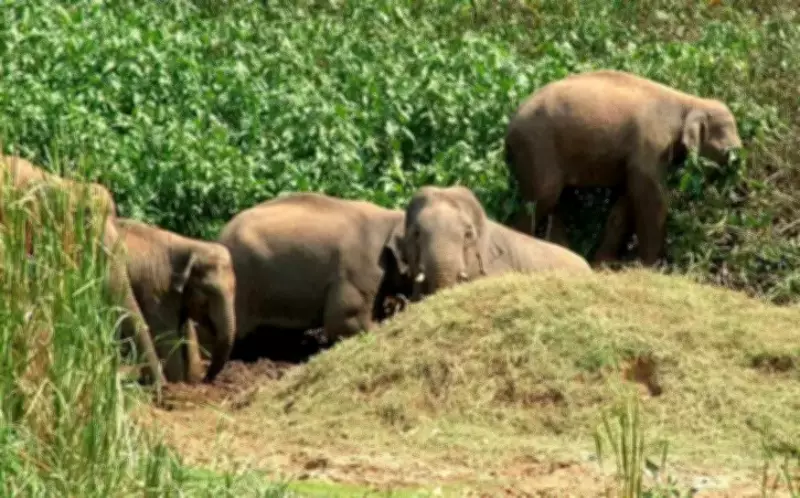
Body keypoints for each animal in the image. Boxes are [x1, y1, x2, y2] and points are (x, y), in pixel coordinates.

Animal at [113, 217, 237, 384]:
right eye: (210, 291)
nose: (206, 379)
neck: (192, 245)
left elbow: (187, 331)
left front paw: (191, 380)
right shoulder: (158, 290)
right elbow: (166, 334)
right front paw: (178, 383)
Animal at [503, 69, 743, 266]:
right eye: (727, 153)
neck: (690, 101)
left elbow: (626, 201)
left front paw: (605, 266)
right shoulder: (650, 143)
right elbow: (651, 197)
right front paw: (650, 267)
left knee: (559, 201)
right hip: (537, 145)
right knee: (542, 198)